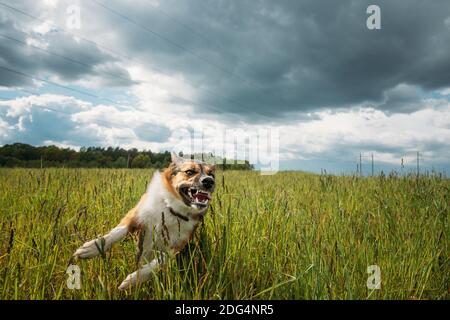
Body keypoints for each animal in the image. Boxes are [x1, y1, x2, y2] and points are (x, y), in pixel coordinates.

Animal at [72, 152, 216, 290]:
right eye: (190, 172)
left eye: (211, 174)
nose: (209, 181)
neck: (172, 210)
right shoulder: (136, 215)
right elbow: (117, 232)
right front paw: (92, 247)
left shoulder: (177, 246)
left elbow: (159, 262)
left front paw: (133, 280)